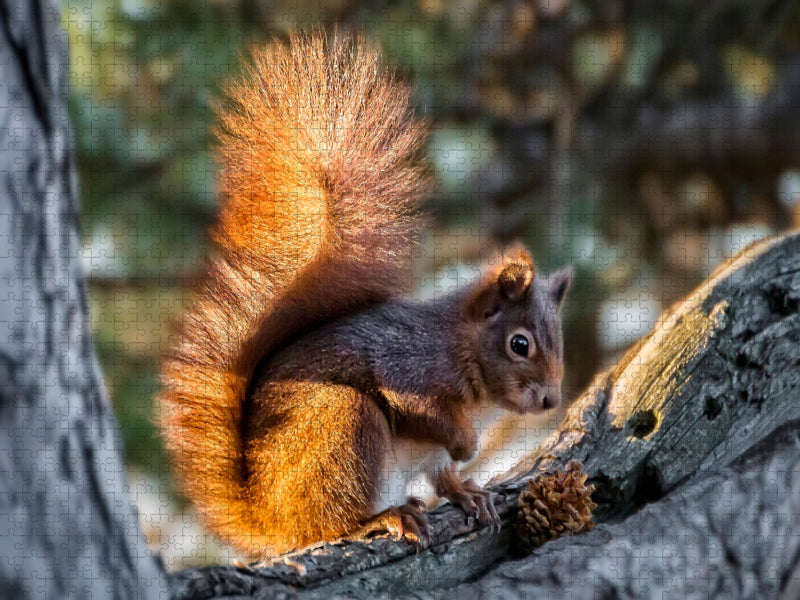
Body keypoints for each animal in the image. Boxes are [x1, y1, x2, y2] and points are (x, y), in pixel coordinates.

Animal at [159, 32, 572, 560]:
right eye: (520, 344)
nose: (550, 400)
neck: (461, 350)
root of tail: (267, 521)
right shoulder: (410, 366)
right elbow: (423, 410)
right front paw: (466, 446)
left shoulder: (431, 453)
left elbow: (443, 473)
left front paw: (468, 490)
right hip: (344, 424)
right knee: (327, 524)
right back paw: (381, 517)